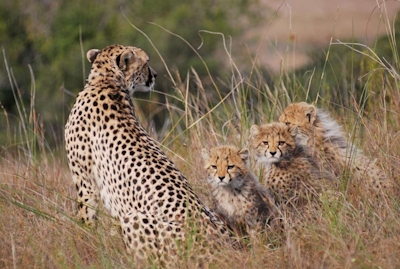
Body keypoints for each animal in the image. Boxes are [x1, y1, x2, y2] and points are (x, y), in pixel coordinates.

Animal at [65, 45, 228, 262]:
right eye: (146, 63)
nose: (155, 75)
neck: (107, 81)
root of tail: (220, 246)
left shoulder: (85, 180)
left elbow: (86, 218)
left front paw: (84, 243)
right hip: (212, 213)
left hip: (134, 218)